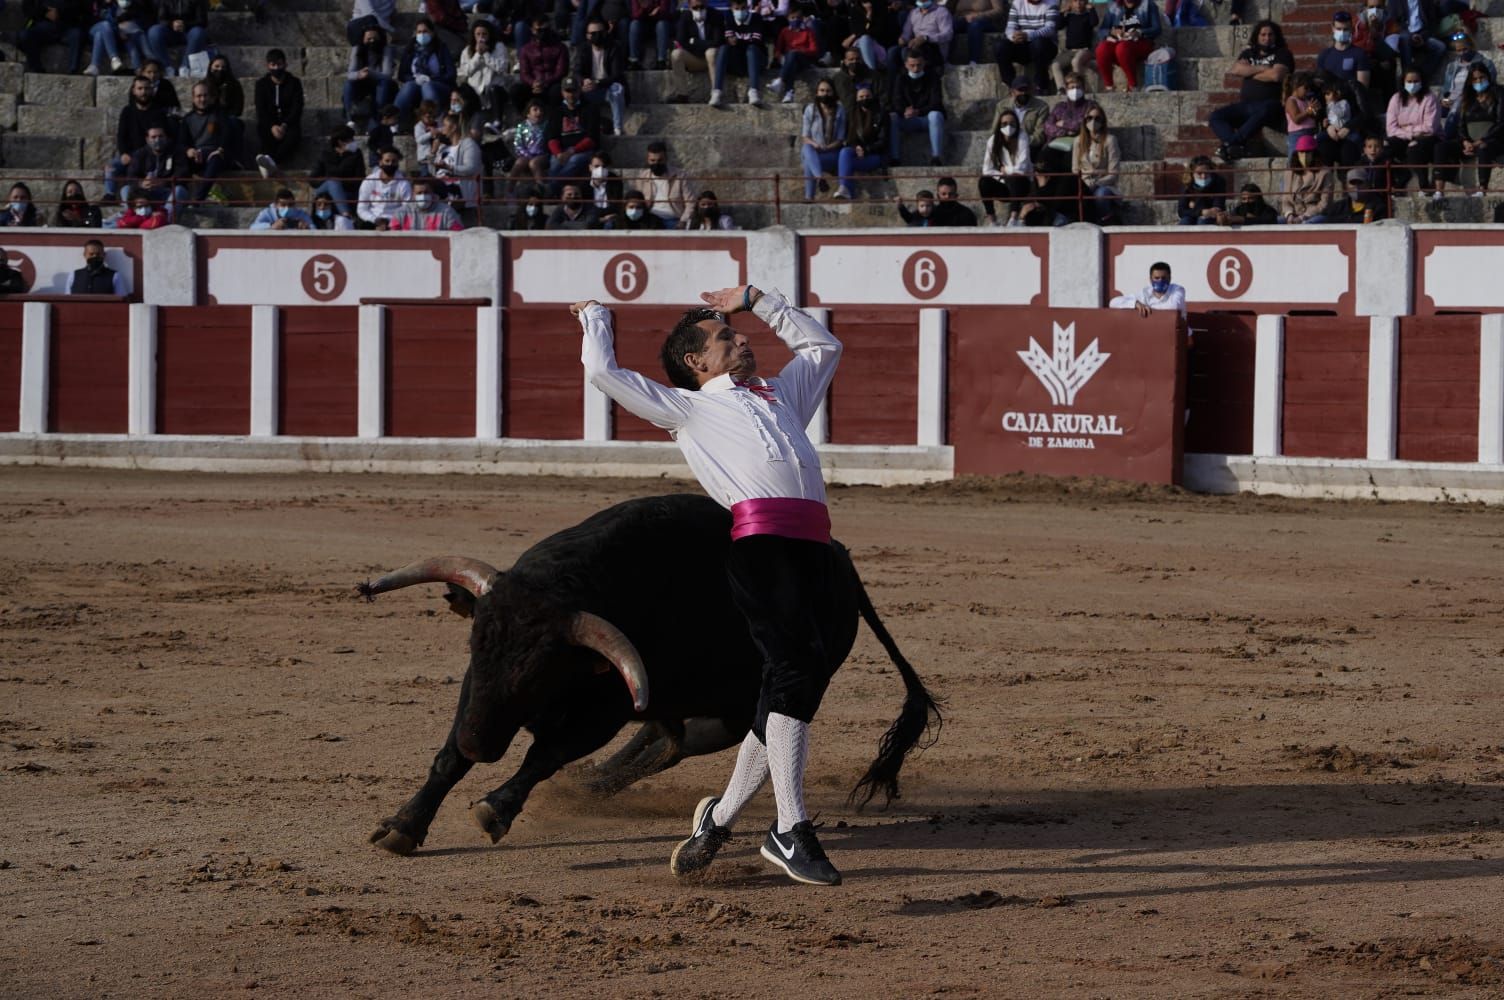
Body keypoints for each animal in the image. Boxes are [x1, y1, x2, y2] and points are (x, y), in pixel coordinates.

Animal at [356, 496, 932, 854]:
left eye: (540, 670)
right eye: (475, 645)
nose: (480, 744)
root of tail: (842, 564)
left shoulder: (602, 711)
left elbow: (542, 756)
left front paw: (495, 809)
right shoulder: (478, 692)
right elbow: (448, 758)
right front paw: (402, 826)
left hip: (750, 701)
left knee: (681, 743)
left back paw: (594, 783)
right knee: (664, 737)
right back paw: (593, 782)